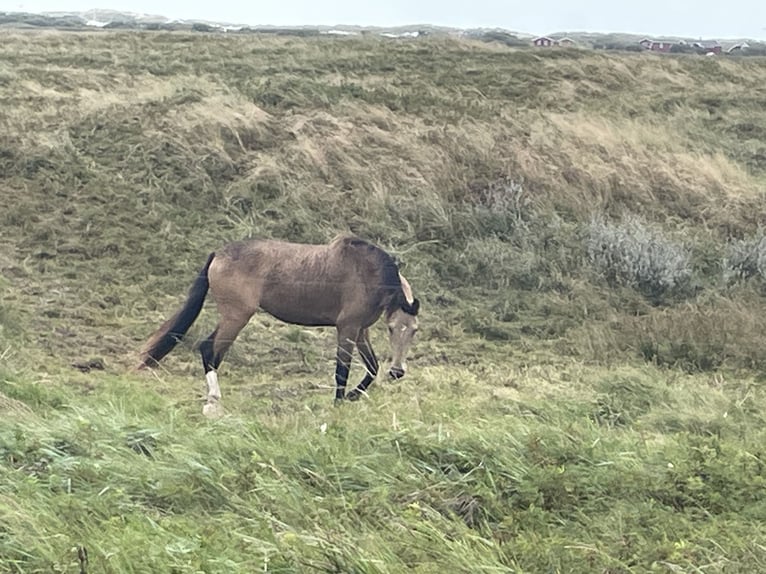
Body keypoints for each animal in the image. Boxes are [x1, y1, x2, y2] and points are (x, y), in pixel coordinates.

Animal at [137, 235, 420, 415]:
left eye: (414, 331)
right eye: (392, 328)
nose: (398, 372)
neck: (369, 274)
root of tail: (219, 253)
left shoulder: (361, 330)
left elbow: (371, 367)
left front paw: (352, 396)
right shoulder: (347, 328)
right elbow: (342, 370)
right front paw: (339, 403)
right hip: (236, 317)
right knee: (209, 349)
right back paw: (213, 402)